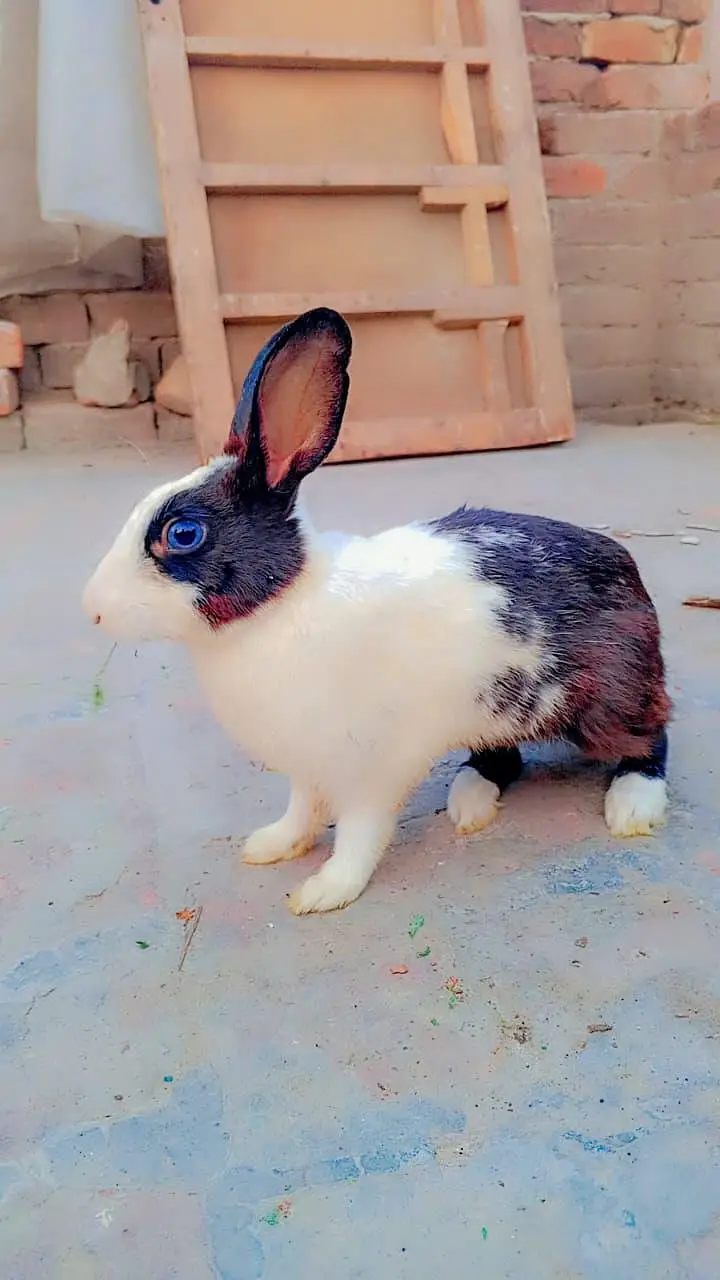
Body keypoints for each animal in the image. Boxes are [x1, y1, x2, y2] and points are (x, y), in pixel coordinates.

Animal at [83, 307, 671, 915]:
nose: (93, 609)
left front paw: (325, 891)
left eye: (183, 534)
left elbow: (359, 834)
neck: (279, 607)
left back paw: (631, 804)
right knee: (504, 757)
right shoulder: (308, 767)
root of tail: (627, 567)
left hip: (605, 700)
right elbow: (302, 809)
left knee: (650, 736)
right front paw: (271, 845)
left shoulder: (372, 769)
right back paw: (470, 799)